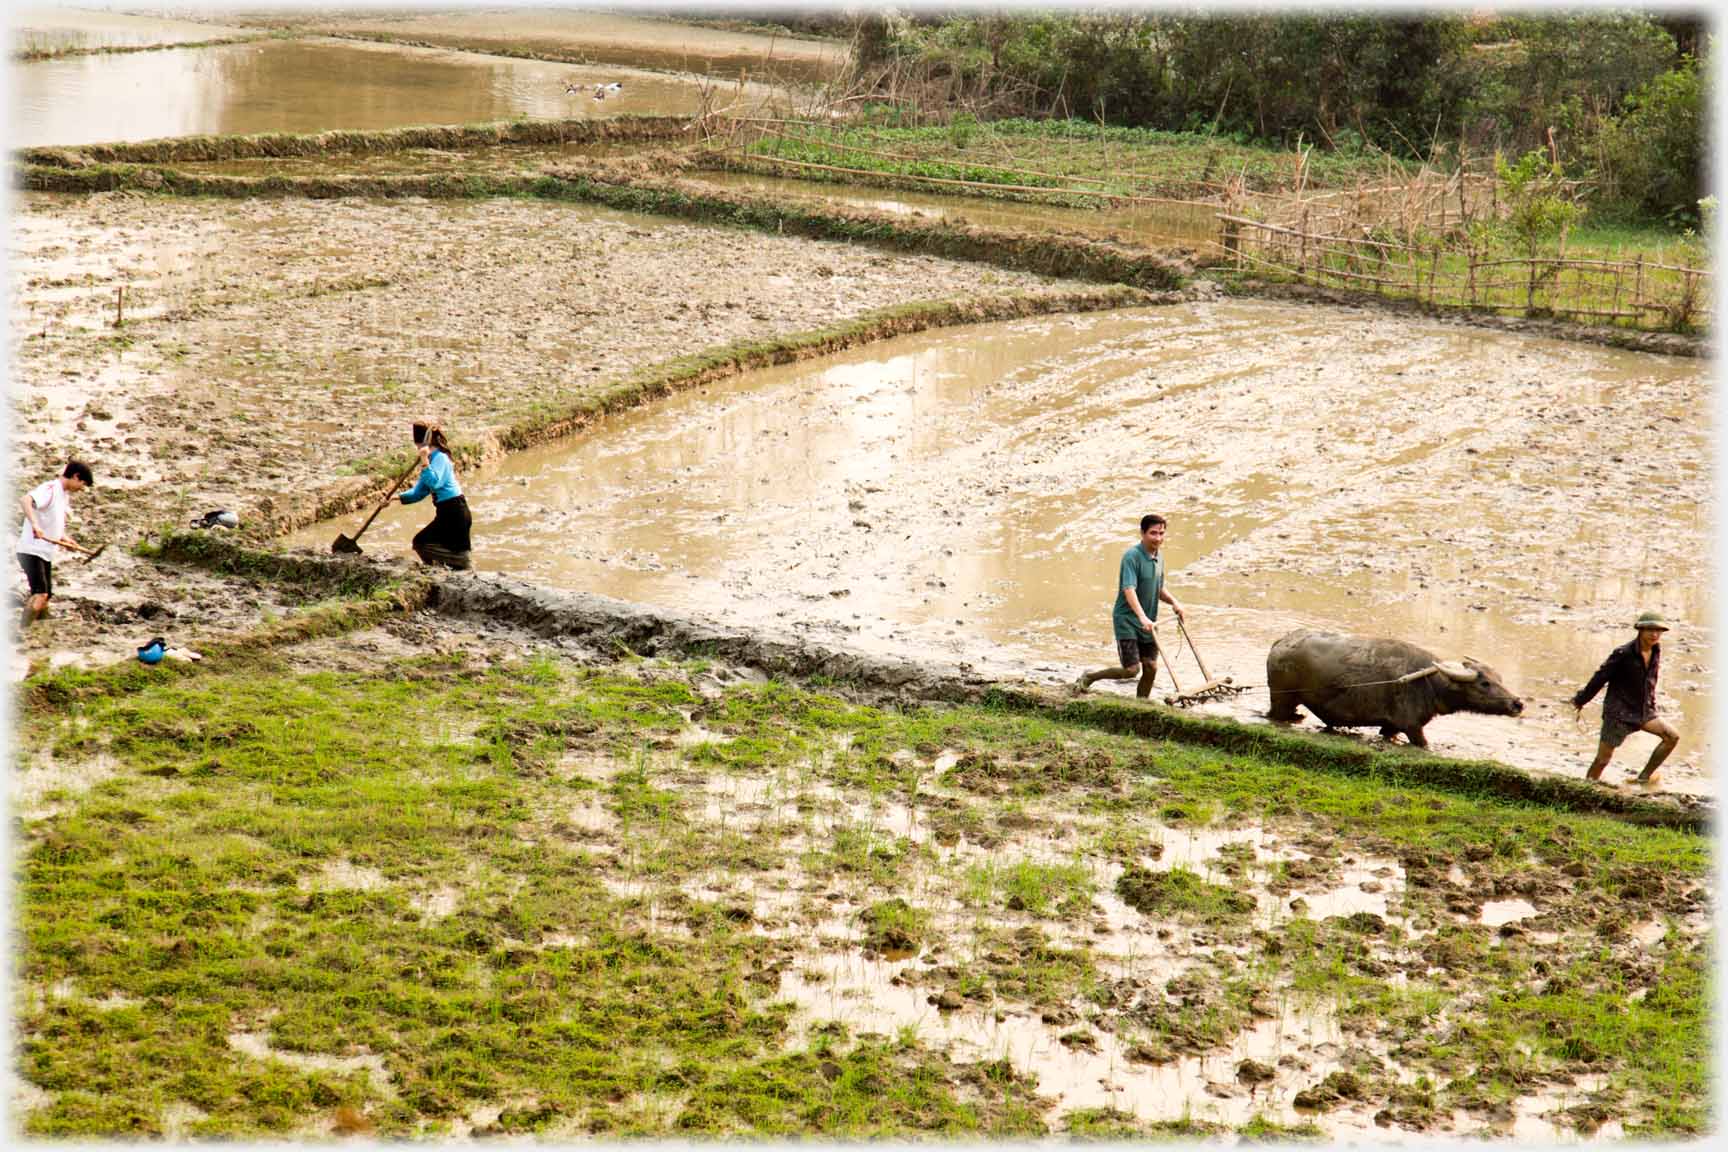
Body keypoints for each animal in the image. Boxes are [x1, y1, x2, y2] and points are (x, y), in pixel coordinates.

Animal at [1264, 632, 1520, 749]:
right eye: (1484, 683)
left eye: (1499, 678)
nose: (1517, 703)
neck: (1429, 683)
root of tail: (1281, 642)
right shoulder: (1412, 726)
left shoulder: (1391, 726)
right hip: (1282, 698)